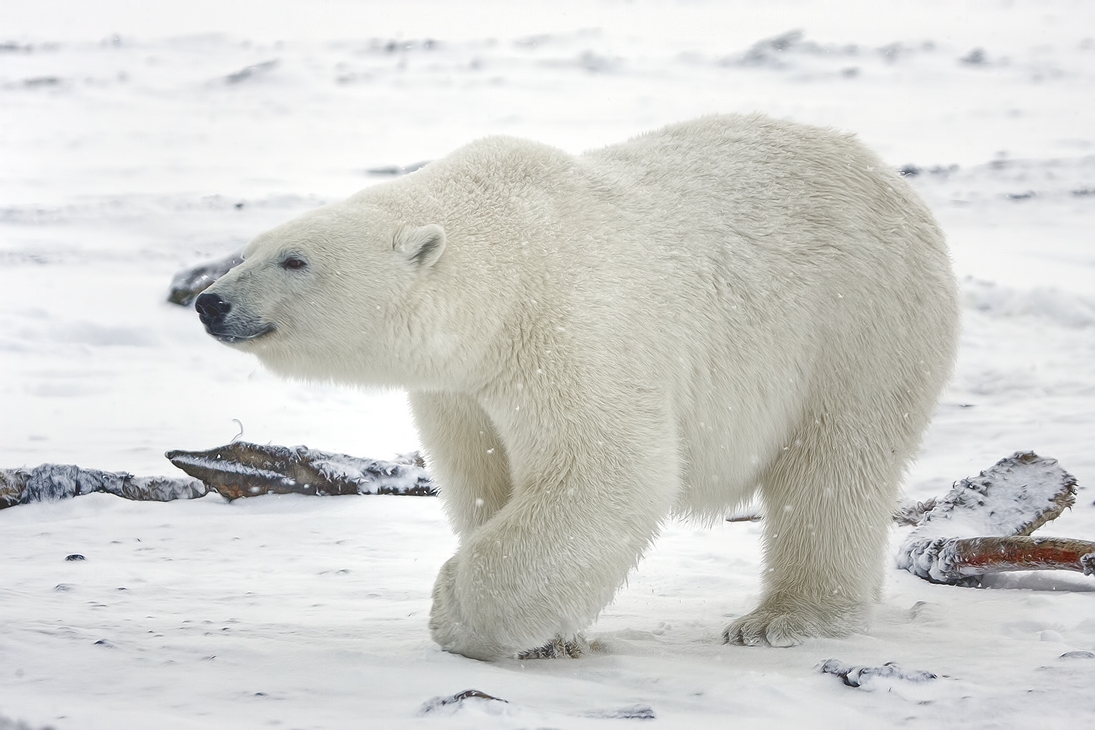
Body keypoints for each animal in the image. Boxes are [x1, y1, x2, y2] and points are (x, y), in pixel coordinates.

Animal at [197, 114, 959, 661]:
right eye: (248, 250)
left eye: (295, 260)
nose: (210, 302)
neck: (503, 264)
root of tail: (894, 182)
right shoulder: (462, 388)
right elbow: (486, 477)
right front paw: (549, 635)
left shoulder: (571, 324)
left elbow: (608, 471)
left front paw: (454, 612)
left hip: (859, 326)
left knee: (832, 467)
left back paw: (784, 618)